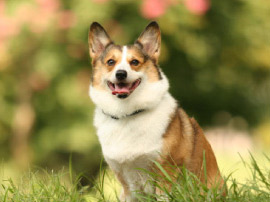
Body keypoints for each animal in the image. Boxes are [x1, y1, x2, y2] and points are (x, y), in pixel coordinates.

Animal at [88, 21, 224, 201]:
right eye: (111, 62)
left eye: (135, 62)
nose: (121, 74)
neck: (128, 114)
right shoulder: (126, 184)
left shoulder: (164, 176)